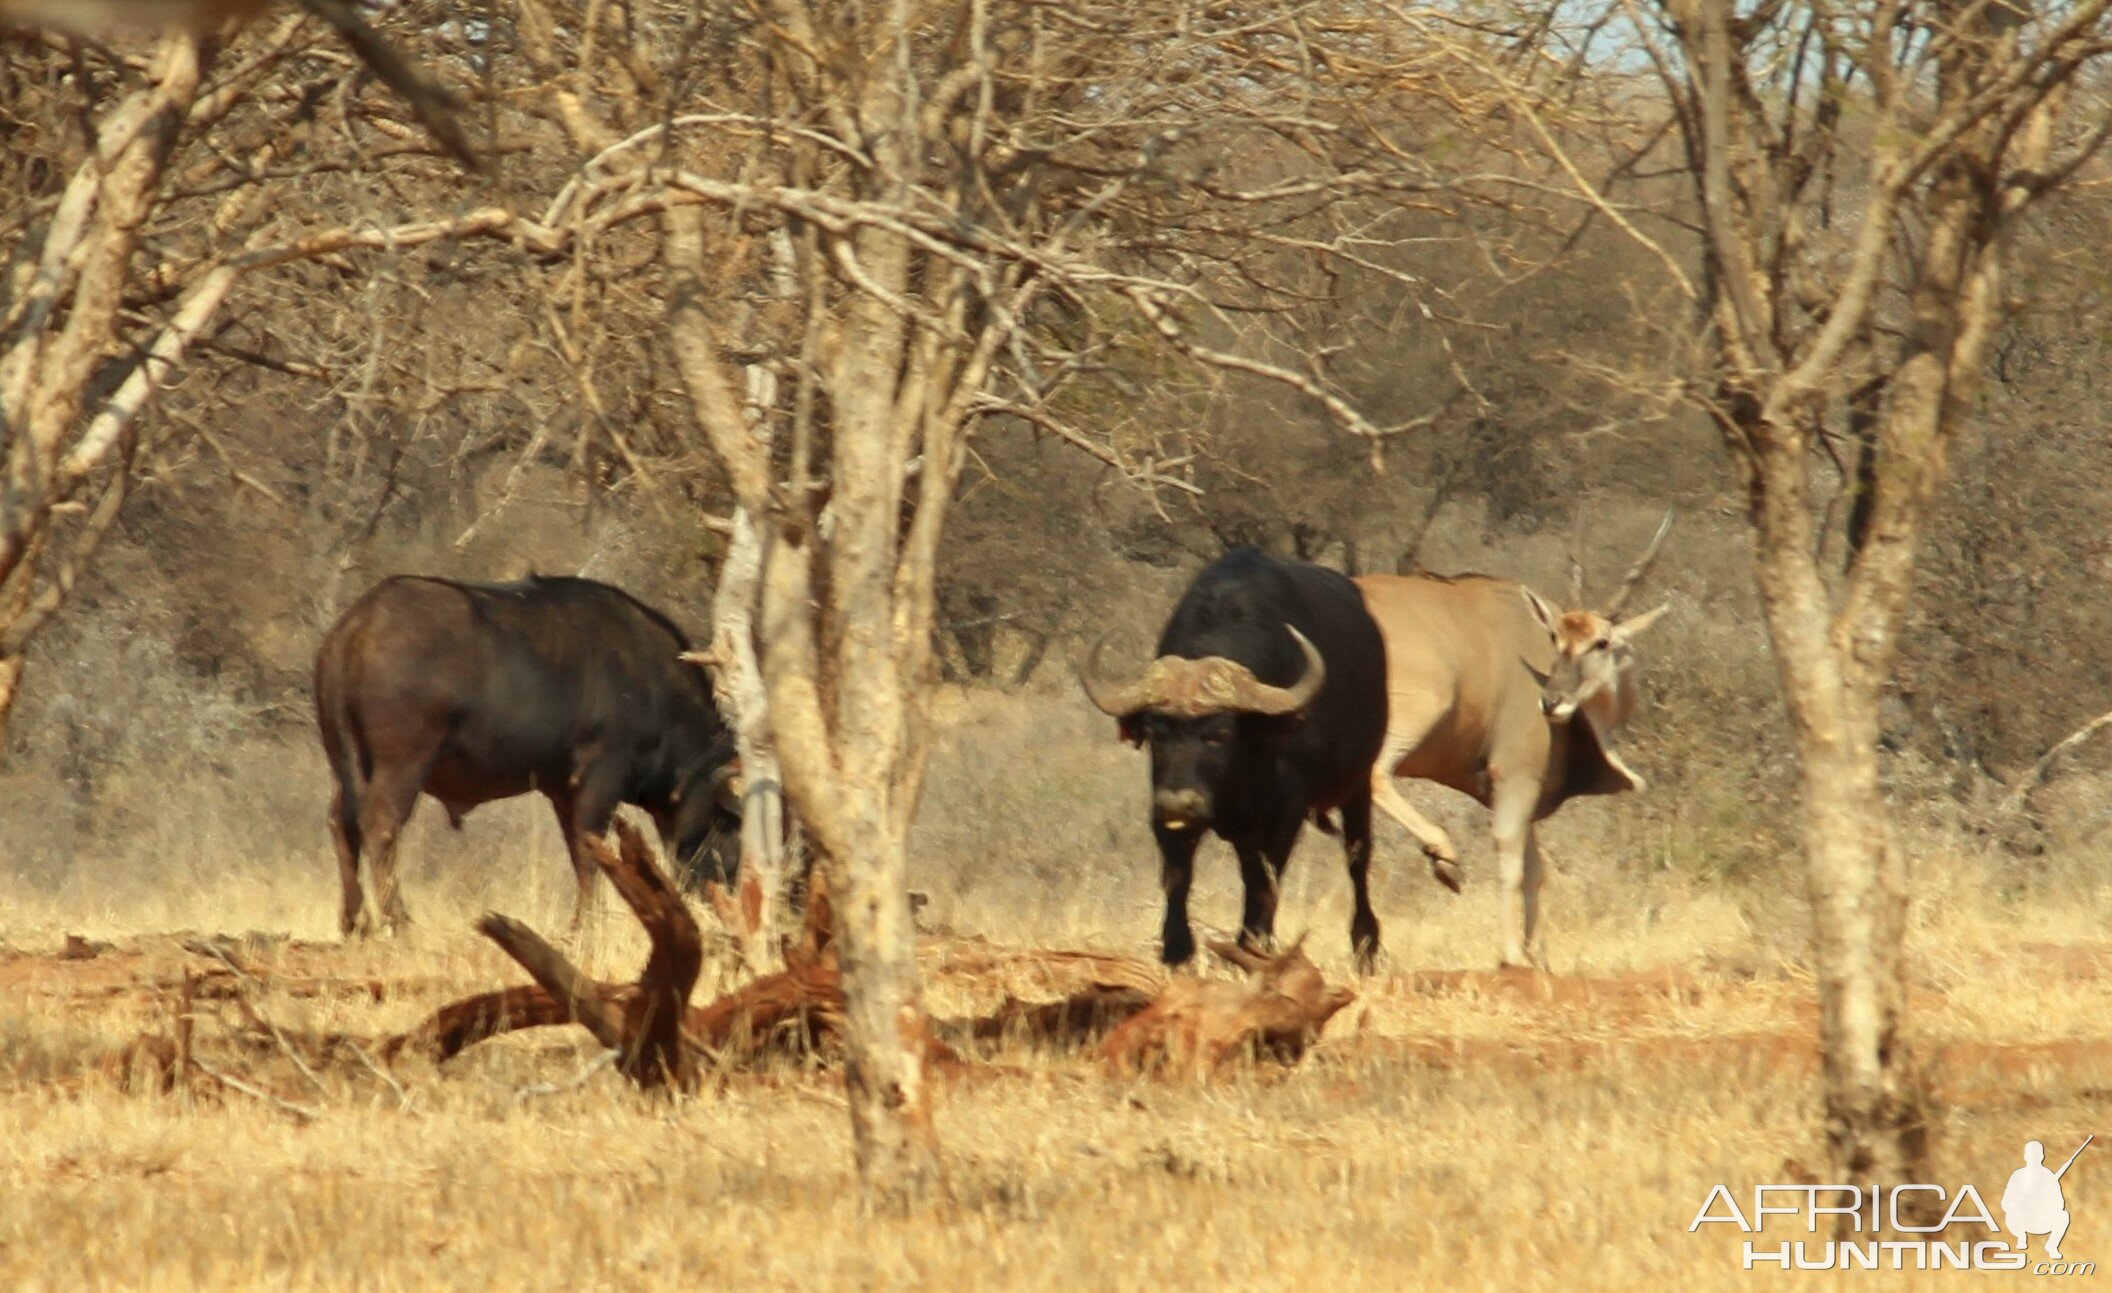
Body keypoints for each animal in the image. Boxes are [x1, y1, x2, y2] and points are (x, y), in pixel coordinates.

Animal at [308, 574, 743, 938]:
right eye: (727, 821)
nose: (730, 881)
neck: (650, 684)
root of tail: (358, 626)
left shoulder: (563, 791)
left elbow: (578, 854)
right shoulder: (601, 777)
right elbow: (592, 852)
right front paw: (587, 927)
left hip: (346, 764)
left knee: (341, 824)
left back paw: (355, 922)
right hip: (402, 765)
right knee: (380, 826)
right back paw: (397, 920)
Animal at [1081, 553, 1393, 971]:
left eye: (1219, 734)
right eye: (1156, 733)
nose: (1180, 802)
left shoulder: (1285, 812)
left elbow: (1265, 881)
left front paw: (1254, 946)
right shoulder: (1165, 808)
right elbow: (1178, 874)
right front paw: (1177, 947)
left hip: (1358, 785)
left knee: (1357, 859)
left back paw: (1365, 944)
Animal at [1360, 509, 1672, 963]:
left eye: (1600, 643)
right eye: (1556, 638)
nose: (1552, 703)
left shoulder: (1524, 790)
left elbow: (1535, 871)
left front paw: (1534, 954)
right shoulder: (1515, 777)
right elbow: (1511, 859)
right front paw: (1512, 954)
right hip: (1420, 709)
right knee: (1375, 775)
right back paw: (1445, 857)